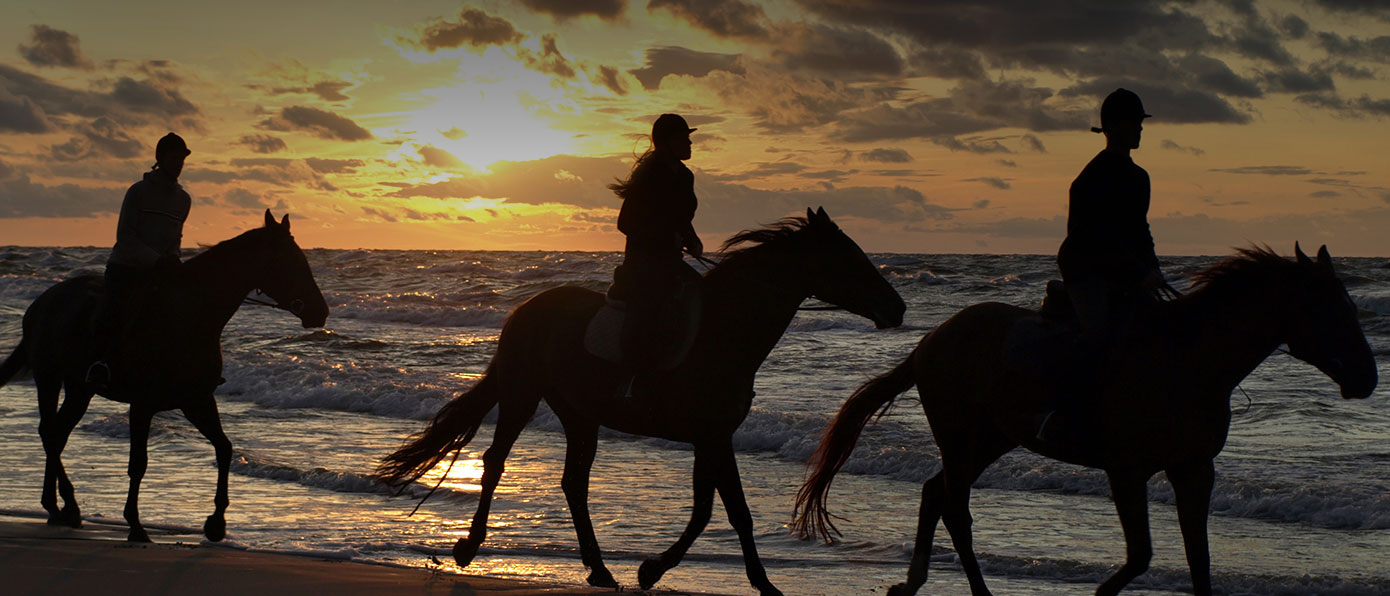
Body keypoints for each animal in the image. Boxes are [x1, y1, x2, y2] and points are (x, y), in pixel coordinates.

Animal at [0, 211, 328, 541]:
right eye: (292, 262)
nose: (321, 311)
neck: (189, 318)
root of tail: (42, 301)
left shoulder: (197, 400)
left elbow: (224, 449)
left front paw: (216, 522)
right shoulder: (142, 405)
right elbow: (138, 464)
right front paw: (135, 524)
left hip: (79, 388)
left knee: (57, 433)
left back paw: (64, 506)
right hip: (49, 378)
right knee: (50, 433)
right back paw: (60, 506)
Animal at [378, 207, 911, 591]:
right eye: (850, 259)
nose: (899, 308)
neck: (725, 332)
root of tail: (525, 307)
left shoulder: (712, 437)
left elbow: (713, 508)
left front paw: (671, 571)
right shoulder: (713, 436)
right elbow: (726, 510)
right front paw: (684, 573)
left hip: (580, 414)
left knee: (573, 483)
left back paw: (599, 569)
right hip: (522, 395)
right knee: (495, 462)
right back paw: (469, 548)